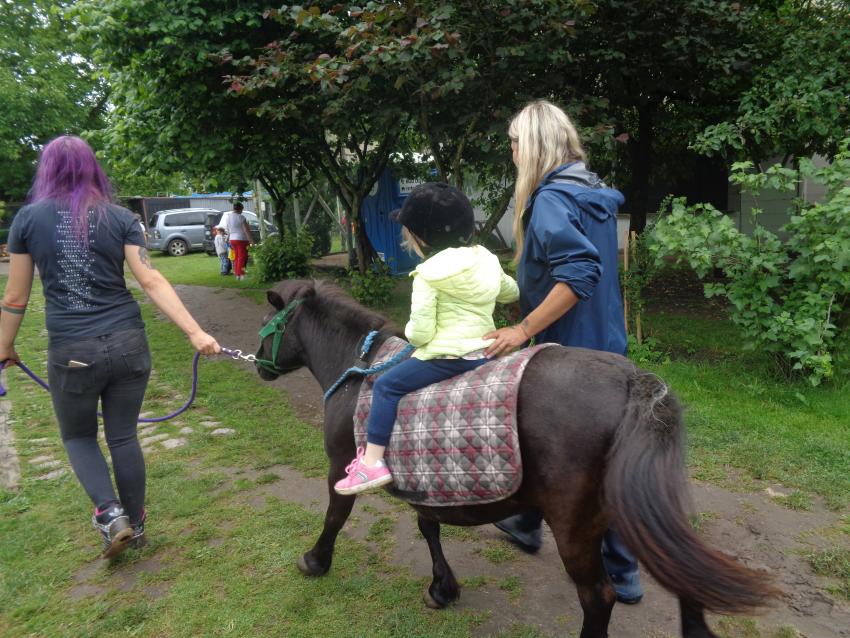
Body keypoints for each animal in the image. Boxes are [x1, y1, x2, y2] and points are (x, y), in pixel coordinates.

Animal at [253, 279, 777, 638]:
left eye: (267, 327)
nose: (258, 365)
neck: (359, 366)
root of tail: (635, 382)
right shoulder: (428, 481)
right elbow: (428, 526)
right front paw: (443, 588)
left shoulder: (340, 466)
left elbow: (336, 516)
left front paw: (315, 561)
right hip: (636, 506)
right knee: (681, 569)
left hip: (575, 525)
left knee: (599, 596)